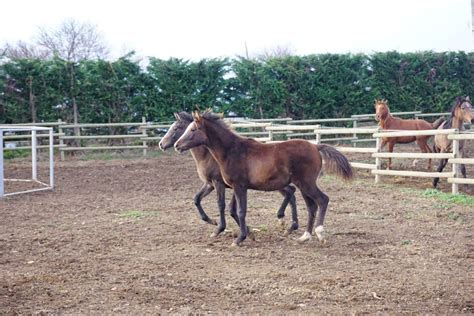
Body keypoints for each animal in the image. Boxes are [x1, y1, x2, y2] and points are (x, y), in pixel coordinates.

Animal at [176, 110, 354, 247]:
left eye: (193, 129)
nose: (177, 145)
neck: (232, 151)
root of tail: (316, 146)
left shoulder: (239, 186)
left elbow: (240, 211)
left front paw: (239, 239)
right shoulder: (234, 187)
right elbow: (233, 210)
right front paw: (246, 234)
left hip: (306, 183)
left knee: (322, 200)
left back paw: (319, 233)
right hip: (303, 185)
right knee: (311, 206)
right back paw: (304, 236)